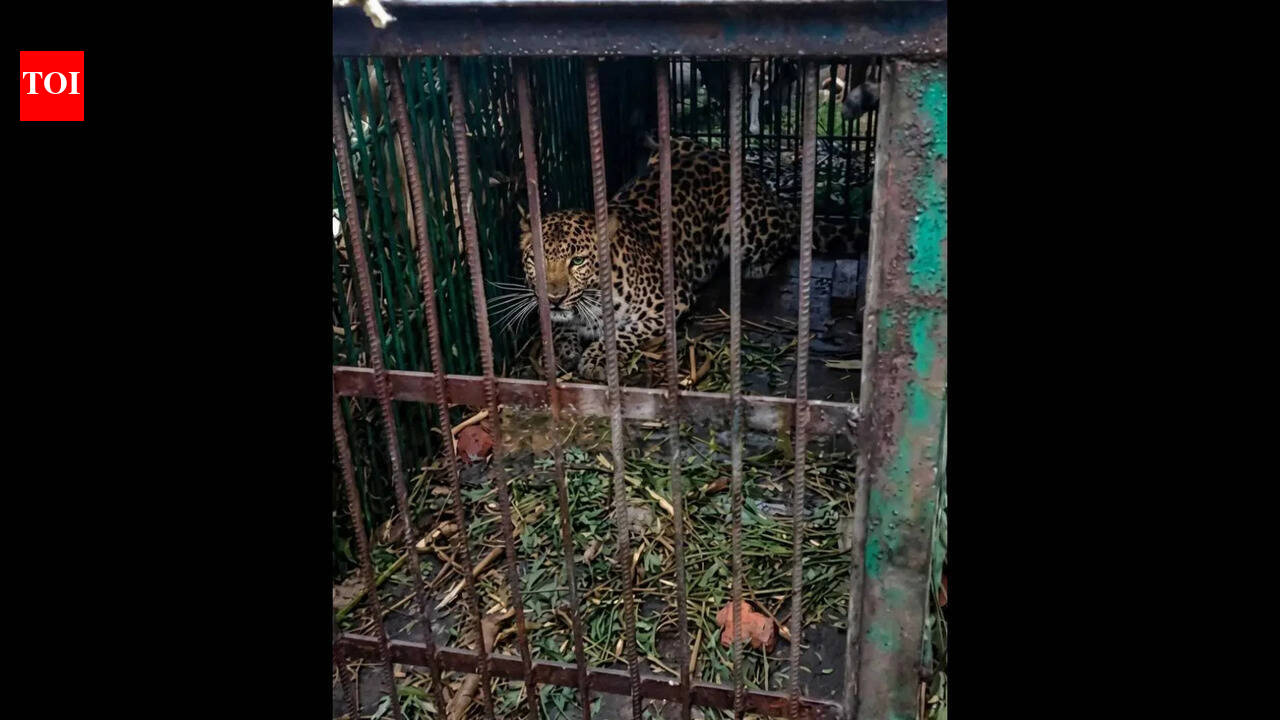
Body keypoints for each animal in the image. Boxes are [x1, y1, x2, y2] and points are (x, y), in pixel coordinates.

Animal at [505, 136, 851, 382]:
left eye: (577, 261)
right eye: (535, 259)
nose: (554, 298)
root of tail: (722, 153)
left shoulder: (670, 302)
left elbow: (622, 332)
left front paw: (596, 357)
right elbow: (557, 326)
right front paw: (562, 348)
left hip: (745, 229)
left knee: (788, 230)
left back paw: (757, 265)